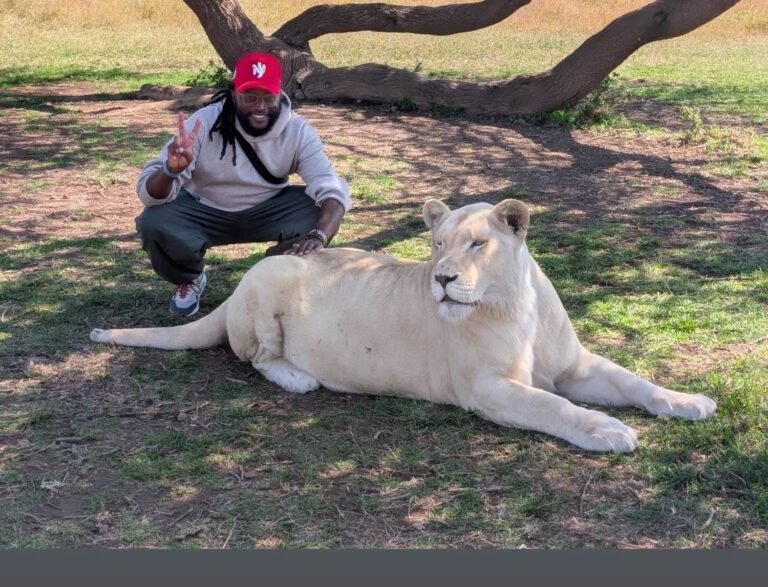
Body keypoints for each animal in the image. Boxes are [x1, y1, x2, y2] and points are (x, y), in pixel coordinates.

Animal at [90, 199, 716, 452]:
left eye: (478, 244)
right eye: (437, 243)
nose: (441, 278)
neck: (513, 303)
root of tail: (239, 285)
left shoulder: (574, 365)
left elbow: (633, 380)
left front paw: (689, 402)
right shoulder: (485, 388)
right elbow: (555, 407)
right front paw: (607, 430)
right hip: (273, 276)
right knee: (258, 358)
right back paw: (301, 377)